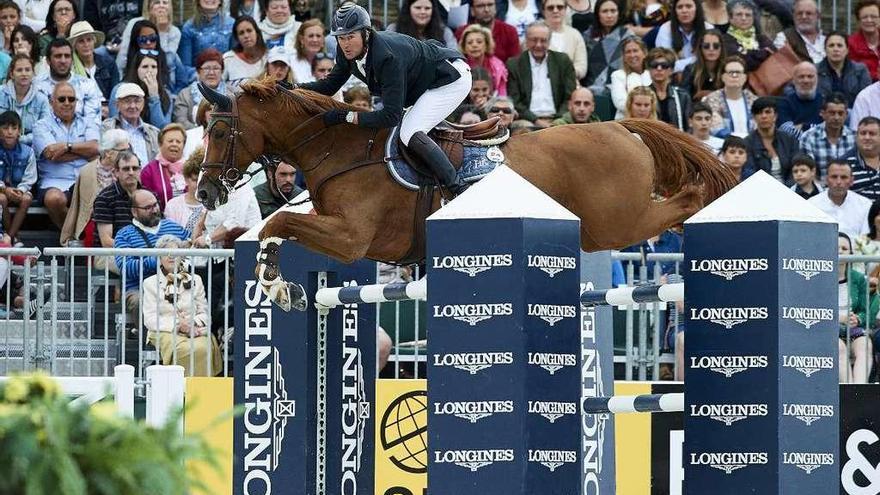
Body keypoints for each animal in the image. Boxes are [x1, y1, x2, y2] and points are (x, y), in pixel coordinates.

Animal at [196, 77, 740, 310]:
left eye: (220, 130)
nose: (203, 192)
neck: (339, 148)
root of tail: (621, 128)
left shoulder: (351, 239)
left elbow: (280, 221)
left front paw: (274, 285)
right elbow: (275, 224)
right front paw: (280, 286)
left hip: (615, 222)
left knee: (685, 199)